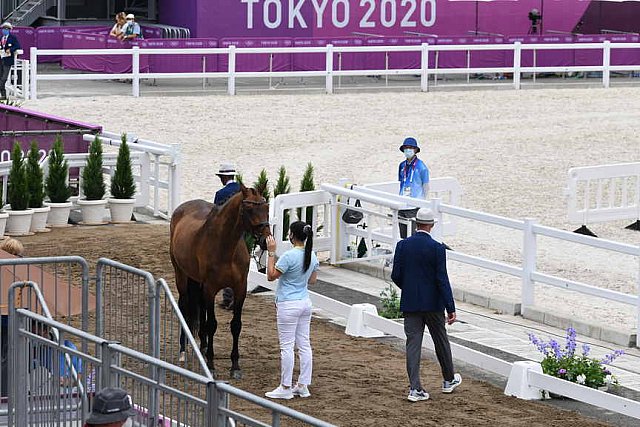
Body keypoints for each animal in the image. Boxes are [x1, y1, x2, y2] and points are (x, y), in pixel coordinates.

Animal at [168, 186, 270, 380]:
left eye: (266, 207)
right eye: (249, 209)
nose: (265, 239)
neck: (226, 247)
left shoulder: (240, 289)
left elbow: (236, 325)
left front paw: (235, 366)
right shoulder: (210, 289)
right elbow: (212, 324)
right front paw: (211, 364)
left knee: (199, 309)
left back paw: (202, 347)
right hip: (182, 276)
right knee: (184, 307)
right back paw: (183, 351)